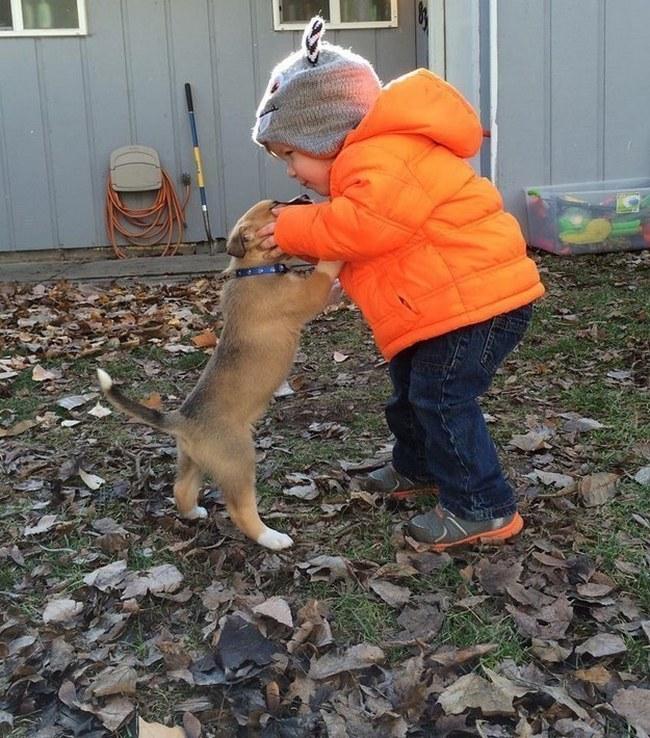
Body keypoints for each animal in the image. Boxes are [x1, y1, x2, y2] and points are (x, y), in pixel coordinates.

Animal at [97, 197, 340, 548]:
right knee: (240, 510)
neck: (253, 268)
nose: (307, 200)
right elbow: (323, 274)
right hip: (239, 460)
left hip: (193, 460)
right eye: (275, 206)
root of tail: (182, 419)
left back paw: (193, 513)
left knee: (181, 489)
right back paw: (272, 538)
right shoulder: (307, 295)